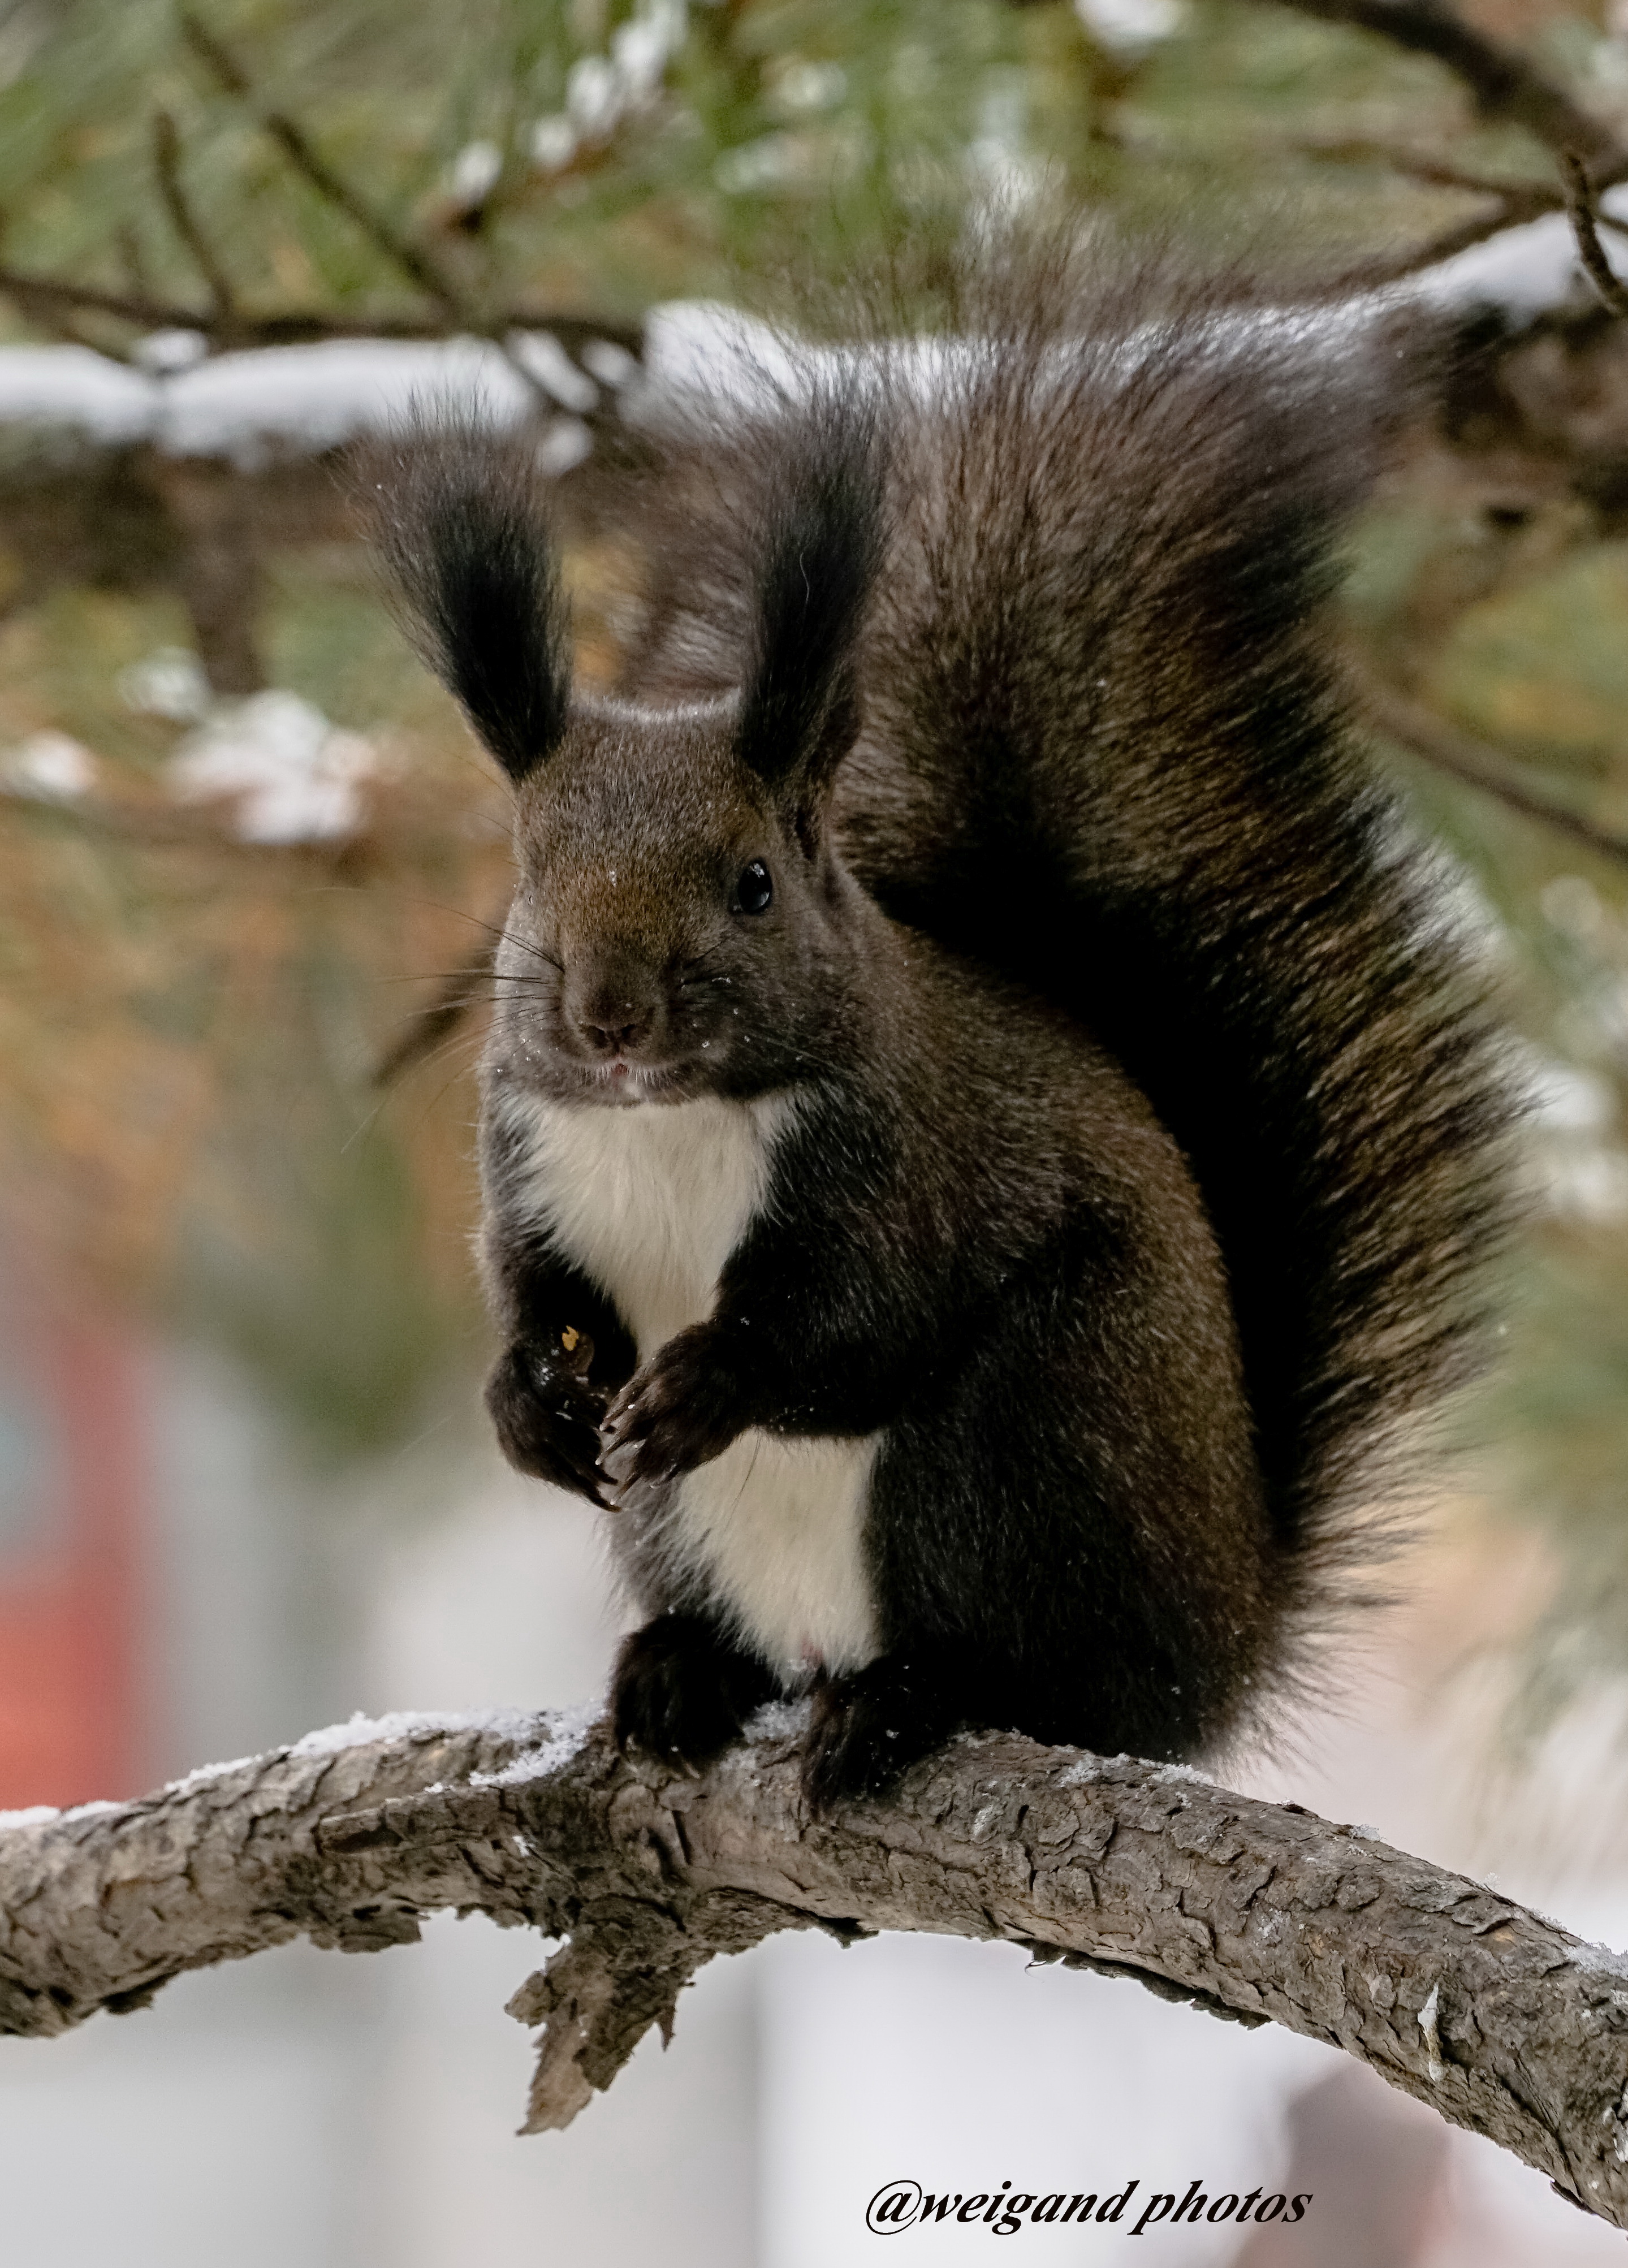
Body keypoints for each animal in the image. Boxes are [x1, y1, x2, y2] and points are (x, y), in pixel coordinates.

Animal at [374, 239, 1514, 1814]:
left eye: (753, 882)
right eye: (529, 876)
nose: (610, 1020)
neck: (673, 1119)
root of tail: (1226, 1639)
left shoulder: (909, 1164)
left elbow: (851, 1323)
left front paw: (705, 1382)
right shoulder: (529, 1159)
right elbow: (529, 1290)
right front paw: (527, 1403)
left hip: (1022, 1439)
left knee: (1043, 1674)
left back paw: (904, 1701)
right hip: (683, 1530)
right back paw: (683, 1671)